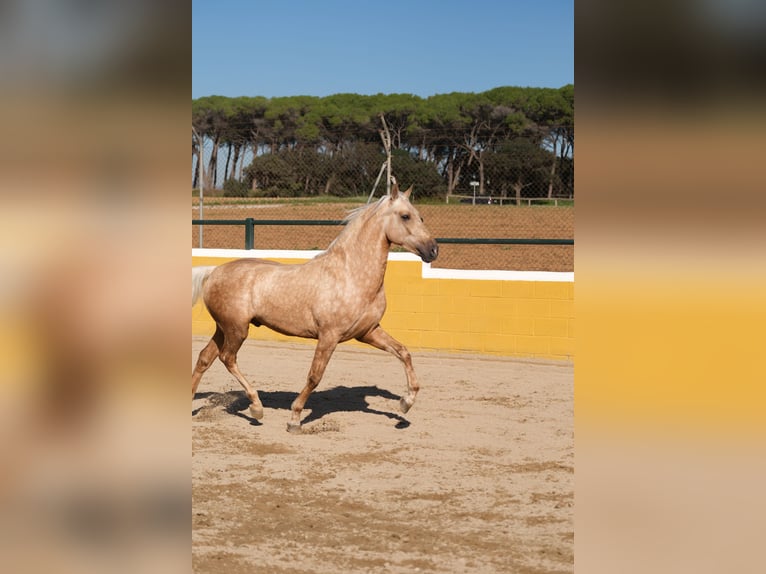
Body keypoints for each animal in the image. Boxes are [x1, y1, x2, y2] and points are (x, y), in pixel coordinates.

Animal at [192, 187, 440, 434]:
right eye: (405, 216)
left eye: (421, 217)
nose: (433, 250)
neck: (350, 274)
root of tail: (213, 271)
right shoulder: (329, 336)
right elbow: (314, 376)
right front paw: (294, 420)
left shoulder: (368, 332)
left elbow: (403, 352)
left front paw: (405, 404)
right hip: (237, 329)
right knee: (227, 358)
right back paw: (256, 407)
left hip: (224, 329)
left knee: (205, 358)